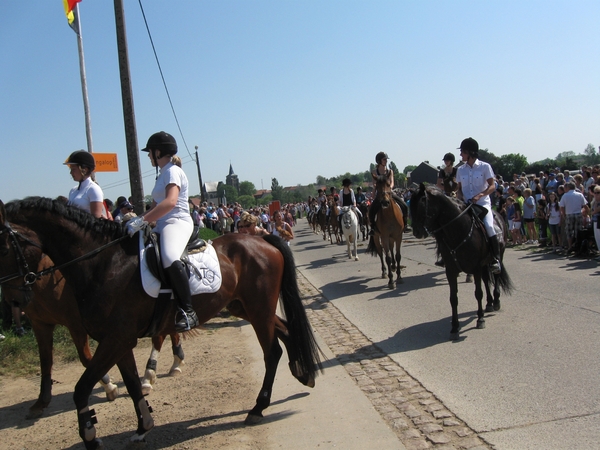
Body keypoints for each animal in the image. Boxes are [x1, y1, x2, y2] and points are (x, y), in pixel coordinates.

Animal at [0, 222, 185, 418]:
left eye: (4, 251)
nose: (13, 300)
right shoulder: (40, 323)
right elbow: (46, 361)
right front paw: (41, 402)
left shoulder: (77, 324)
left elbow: (85, 358)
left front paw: (109, 385)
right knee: (168, 332)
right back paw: (174, 362)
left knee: (159, 337)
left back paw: (152, 375)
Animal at [410, 185, 512, 340]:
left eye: (421, 205)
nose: (417, 232)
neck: (459, 231)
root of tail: (498, 215)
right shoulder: (451, 271)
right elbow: (453, 298)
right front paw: (454, 327)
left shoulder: (475, 268)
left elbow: (478, 293)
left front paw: (480, 319)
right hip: (484, 264)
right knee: (486, 280)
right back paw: (489, 303)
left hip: (498, 256)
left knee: (496, 277)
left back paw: (496, 301)